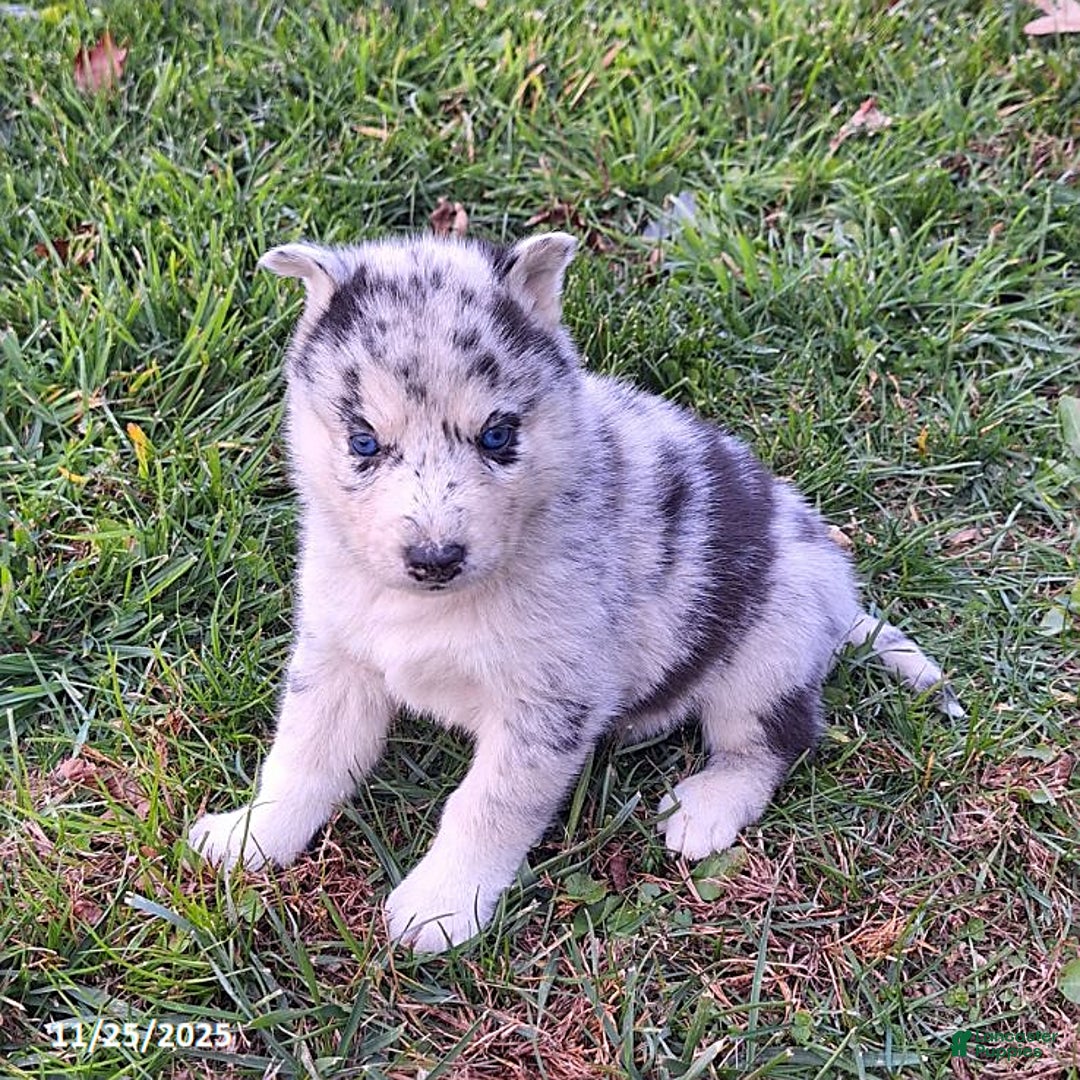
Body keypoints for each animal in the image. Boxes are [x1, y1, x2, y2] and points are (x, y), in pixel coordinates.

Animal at [188, 231, 961, 953]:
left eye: (498, 436)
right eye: (363, 442)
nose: (435, 558)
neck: (436, 606)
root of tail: (833, 580)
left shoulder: (546, 700)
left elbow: (486, 806)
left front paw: (440, 905)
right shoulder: (337, 656)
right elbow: (304, 760)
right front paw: (252, 834)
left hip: (766, 654)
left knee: (776, 742)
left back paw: (707, 806)